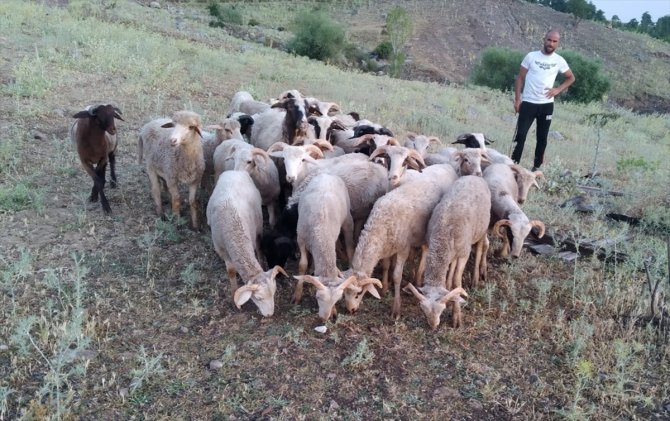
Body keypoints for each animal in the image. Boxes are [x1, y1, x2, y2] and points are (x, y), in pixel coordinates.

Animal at [206, 170, 288, 316]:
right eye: (259, 298)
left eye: (274, 293)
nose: (270, 315)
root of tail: (235, 171)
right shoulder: (221, 249)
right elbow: (231, 271)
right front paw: (233, 293)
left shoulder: (255, 233)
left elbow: (259, 248)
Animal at [404, 174, 494, 328]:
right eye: (423, 309)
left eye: (442, 309)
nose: (433, 326)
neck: (443, 233)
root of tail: (474, 176)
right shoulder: (428, 245)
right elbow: (421, 270)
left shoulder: (464, 253)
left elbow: (457, 283)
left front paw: (456, 318)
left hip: (482, 229)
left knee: (481, 247)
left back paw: (477, 276)